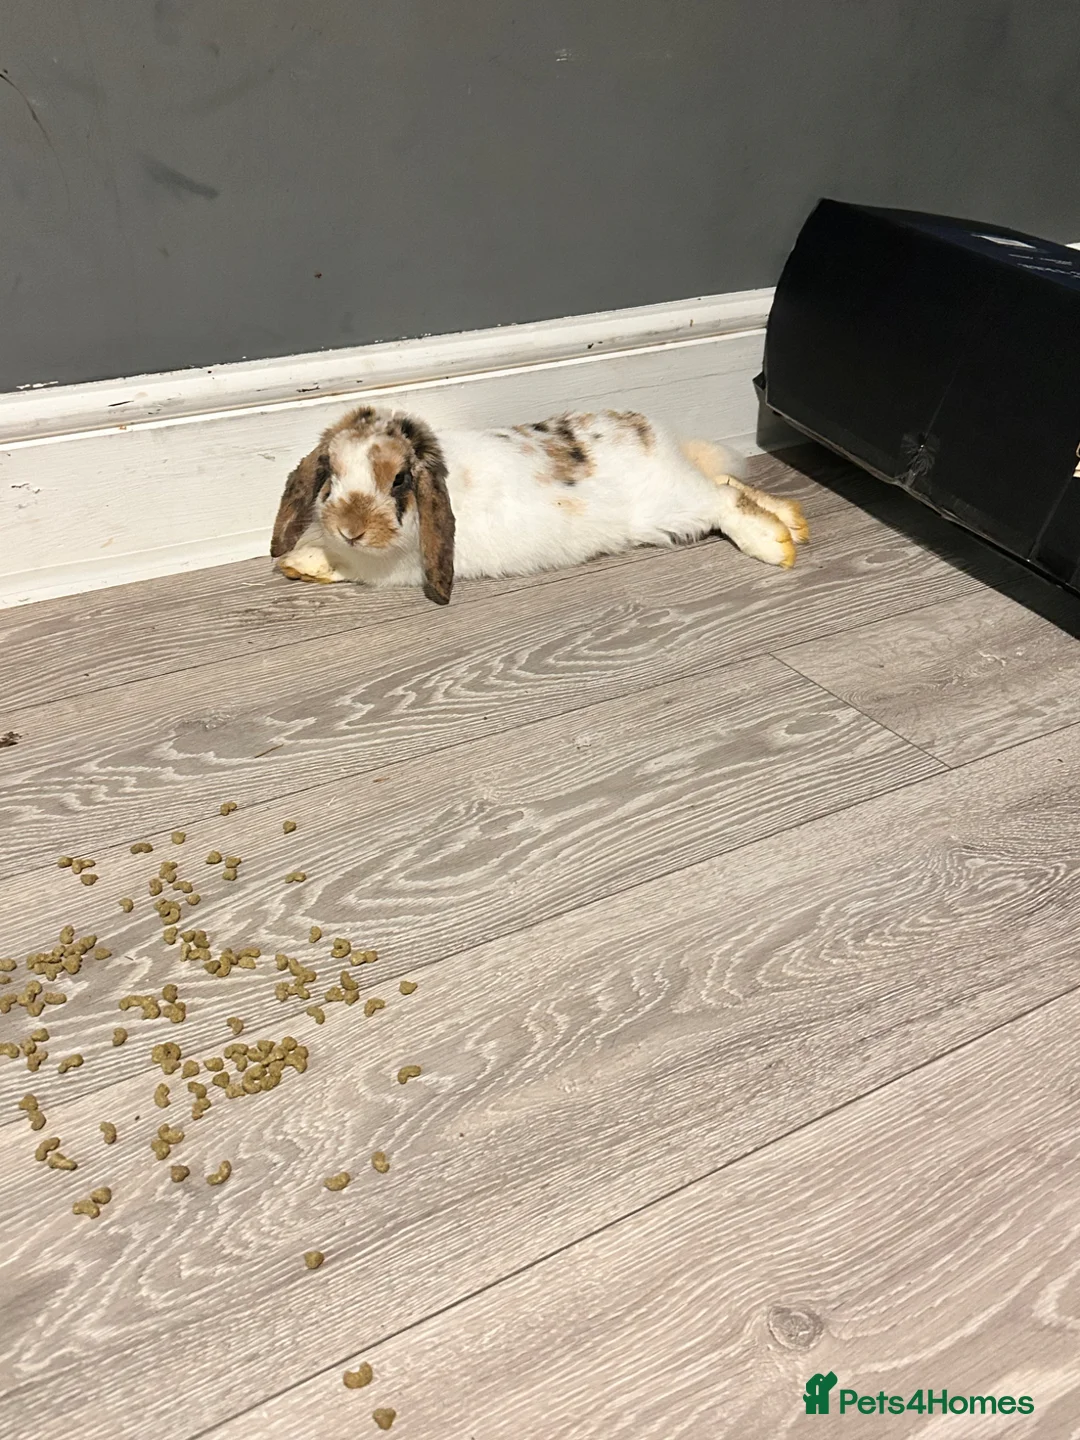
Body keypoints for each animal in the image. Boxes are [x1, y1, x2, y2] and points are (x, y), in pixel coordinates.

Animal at [270, 405, 808, 605]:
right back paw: (794, 523)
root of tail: (653, 435)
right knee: (727, 481)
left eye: (399, 479)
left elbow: (347, 567)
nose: (352, 528)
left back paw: (776, 545)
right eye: (331, 477)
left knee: (725, 500)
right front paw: (299, 562)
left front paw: (305, 561)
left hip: (671, 507)